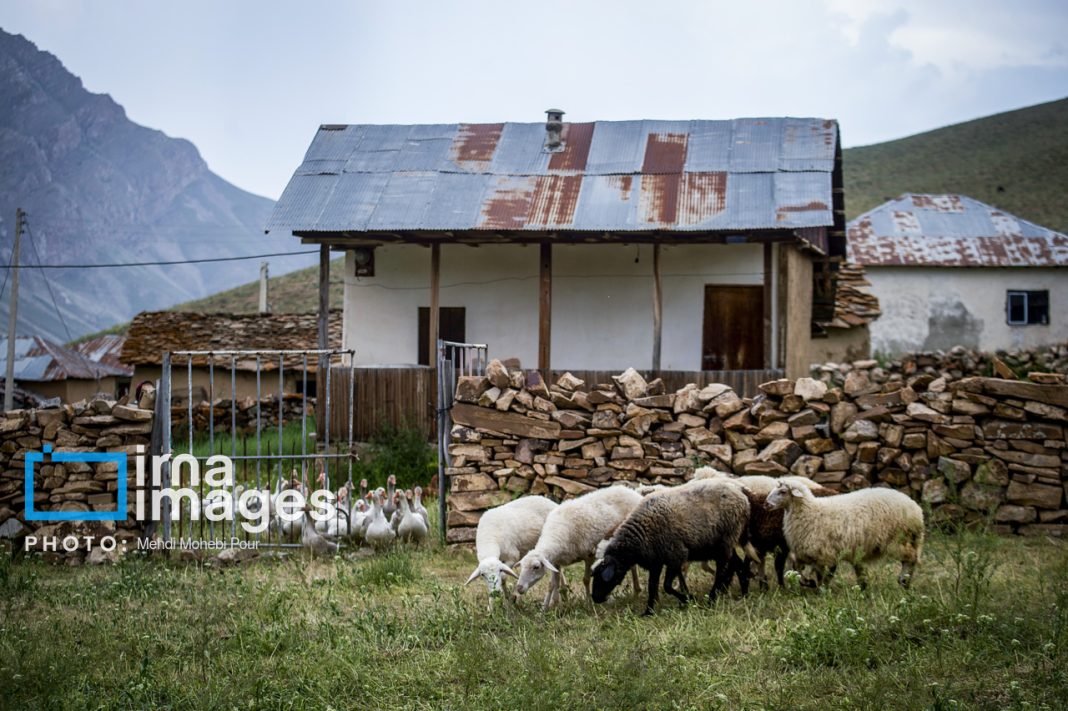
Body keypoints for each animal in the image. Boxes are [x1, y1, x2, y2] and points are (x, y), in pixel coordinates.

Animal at [764, 482, 922, 585]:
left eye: (783, 492)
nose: (766, 504)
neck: (809, 511)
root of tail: (916, 509)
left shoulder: (823, 553)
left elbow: (823, 577)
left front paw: (820, 590)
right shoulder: (808, 554)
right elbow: (797, 568)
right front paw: (808, 582)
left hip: (899, 539)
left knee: (911, 558)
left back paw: (904, 580)